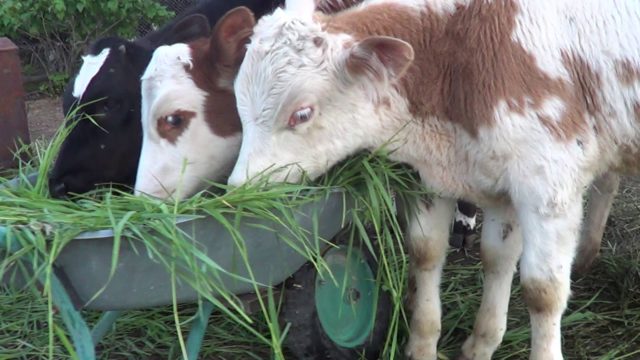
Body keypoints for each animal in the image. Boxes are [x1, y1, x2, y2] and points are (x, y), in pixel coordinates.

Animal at [225, 1, 640, 358]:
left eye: (301, 114)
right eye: (237, 102)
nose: (237, 192)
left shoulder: (548, 185)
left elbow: (543, 292)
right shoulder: (459, 178)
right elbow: (451, 254)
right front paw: (458, 344)